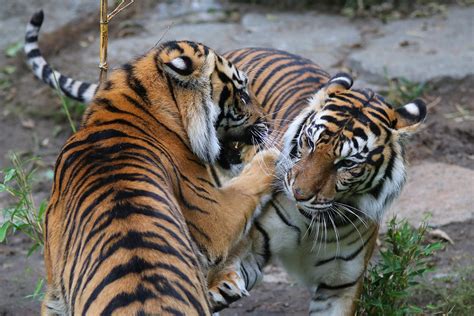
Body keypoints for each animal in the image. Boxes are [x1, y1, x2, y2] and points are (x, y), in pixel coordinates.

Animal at [25, 11, 278, 314]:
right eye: (241, 94)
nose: (268, 122)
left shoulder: (55, 288)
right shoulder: (213, 214)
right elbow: (250, 181)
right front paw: (276, 154)